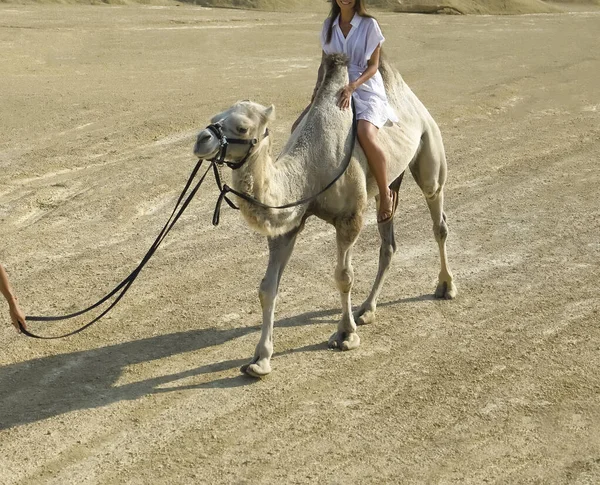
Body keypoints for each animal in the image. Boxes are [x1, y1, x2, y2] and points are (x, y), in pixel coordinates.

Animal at [195, 54, 458, 378]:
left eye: (242, 127)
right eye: (216, 115)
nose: (201, 139)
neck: (310, 168)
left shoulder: (349, 218)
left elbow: (344, 276)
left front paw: (345, 334)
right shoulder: (289, 223)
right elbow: (267, 288)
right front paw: (260, 360)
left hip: (429, 146)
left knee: (438, 219)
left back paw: (445, 286)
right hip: (389, 183)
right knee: (388, 240)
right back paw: (367, 309)